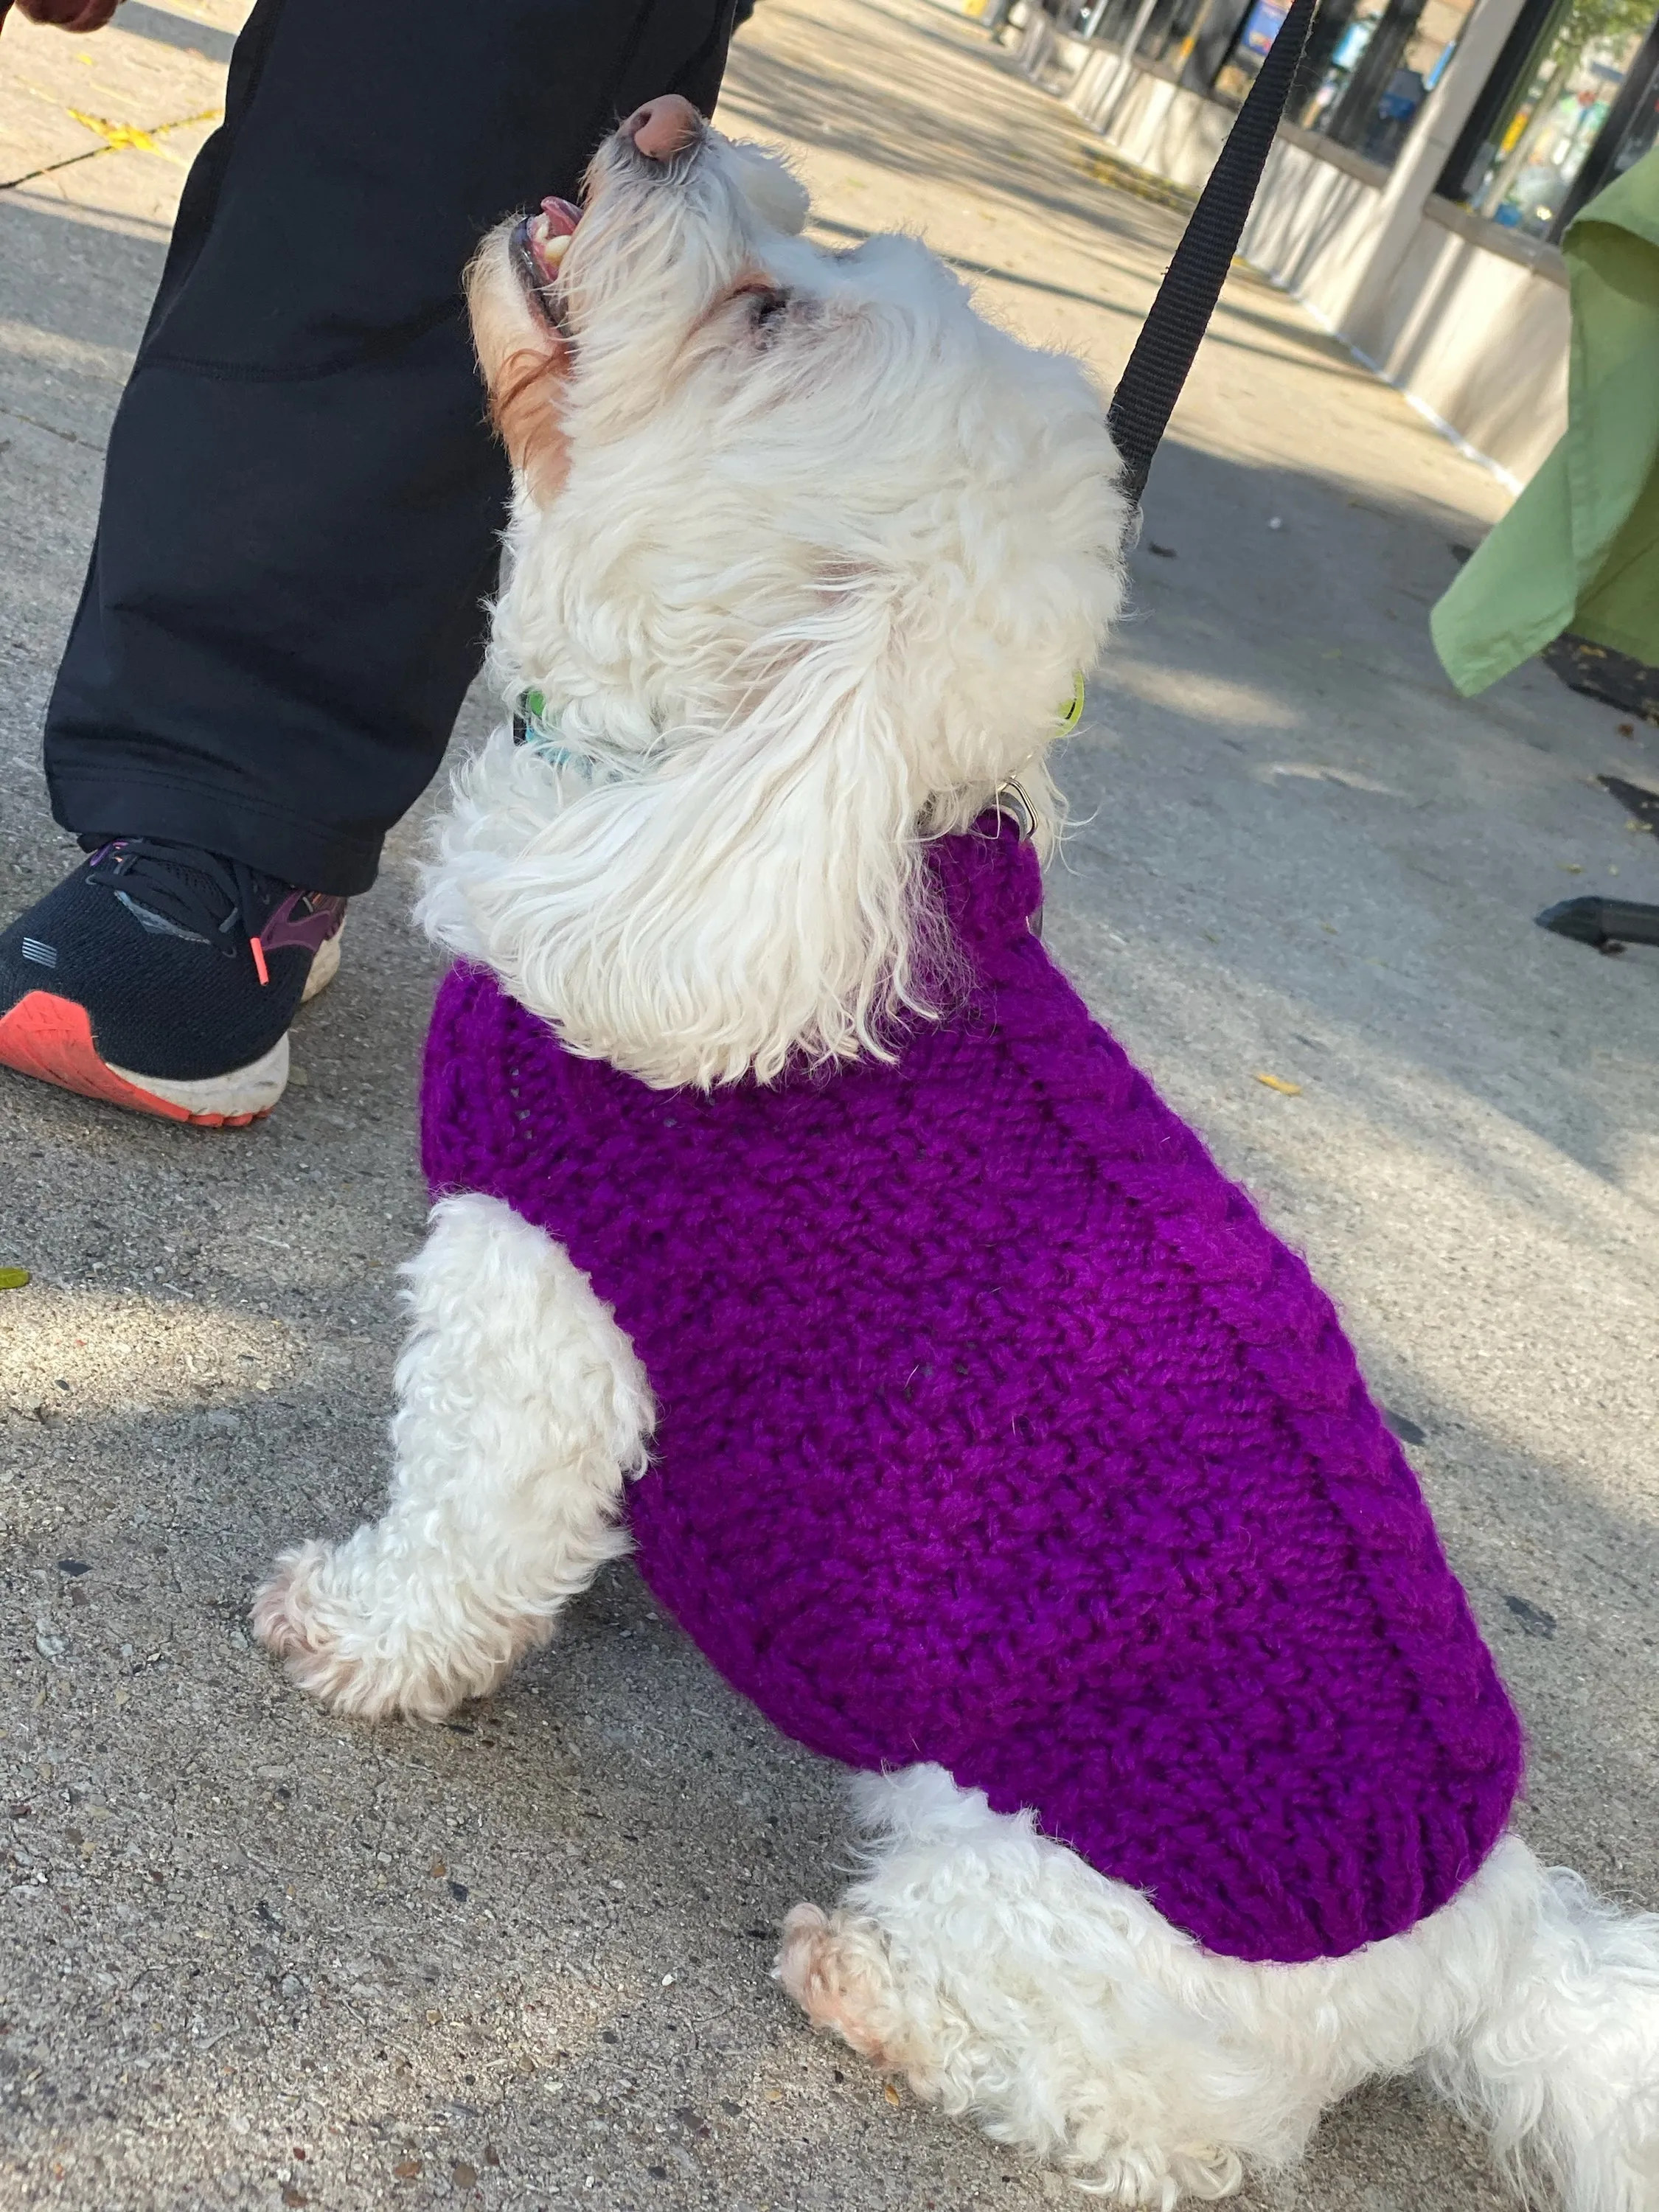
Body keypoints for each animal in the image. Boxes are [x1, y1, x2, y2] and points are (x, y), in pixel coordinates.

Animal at [253, 95, 1655, 2203]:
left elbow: (466, 1524)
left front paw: (358, 1628)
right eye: (797, 239)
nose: (665, 114)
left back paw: (880, 1992)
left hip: (1039, 1882)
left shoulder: (540, 1303)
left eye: (764, 314)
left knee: (1165, 2125)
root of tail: (1481, 1934)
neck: (727, 815)